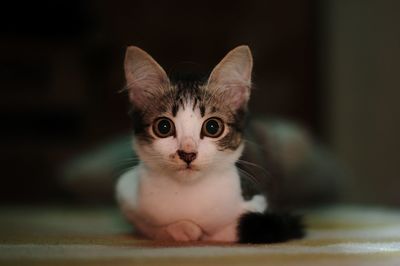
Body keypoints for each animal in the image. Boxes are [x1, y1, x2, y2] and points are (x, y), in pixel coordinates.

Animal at [115, 45, 304, 243]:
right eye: (163, 127)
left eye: (212, 127)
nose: (188, 153)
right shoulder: (125, 190)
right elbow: (148, 226)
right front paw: (184, 229)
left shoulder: (257, 198)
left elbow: (234, 228)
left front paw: (207, 232)